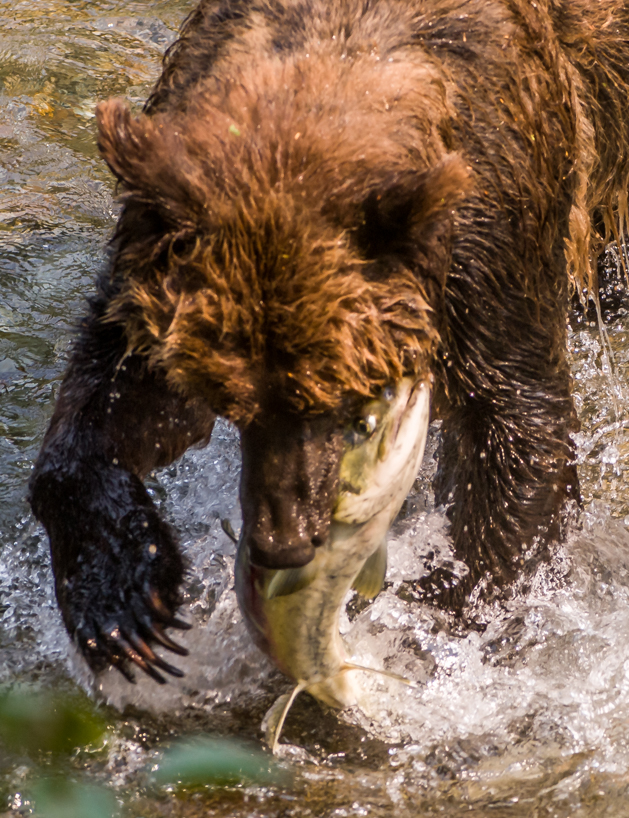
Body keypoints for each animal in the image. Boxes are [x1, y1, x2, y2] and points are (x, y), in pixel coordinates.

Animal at [29, 0, 629, 684]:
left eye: (341, 398)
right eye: (234, 403)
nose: (282, 542)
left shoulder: (488, 242)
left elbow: (514, 425)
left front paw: (441, 616)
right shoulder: (163, 246)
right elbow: (120, 397)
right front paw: (124, 598)